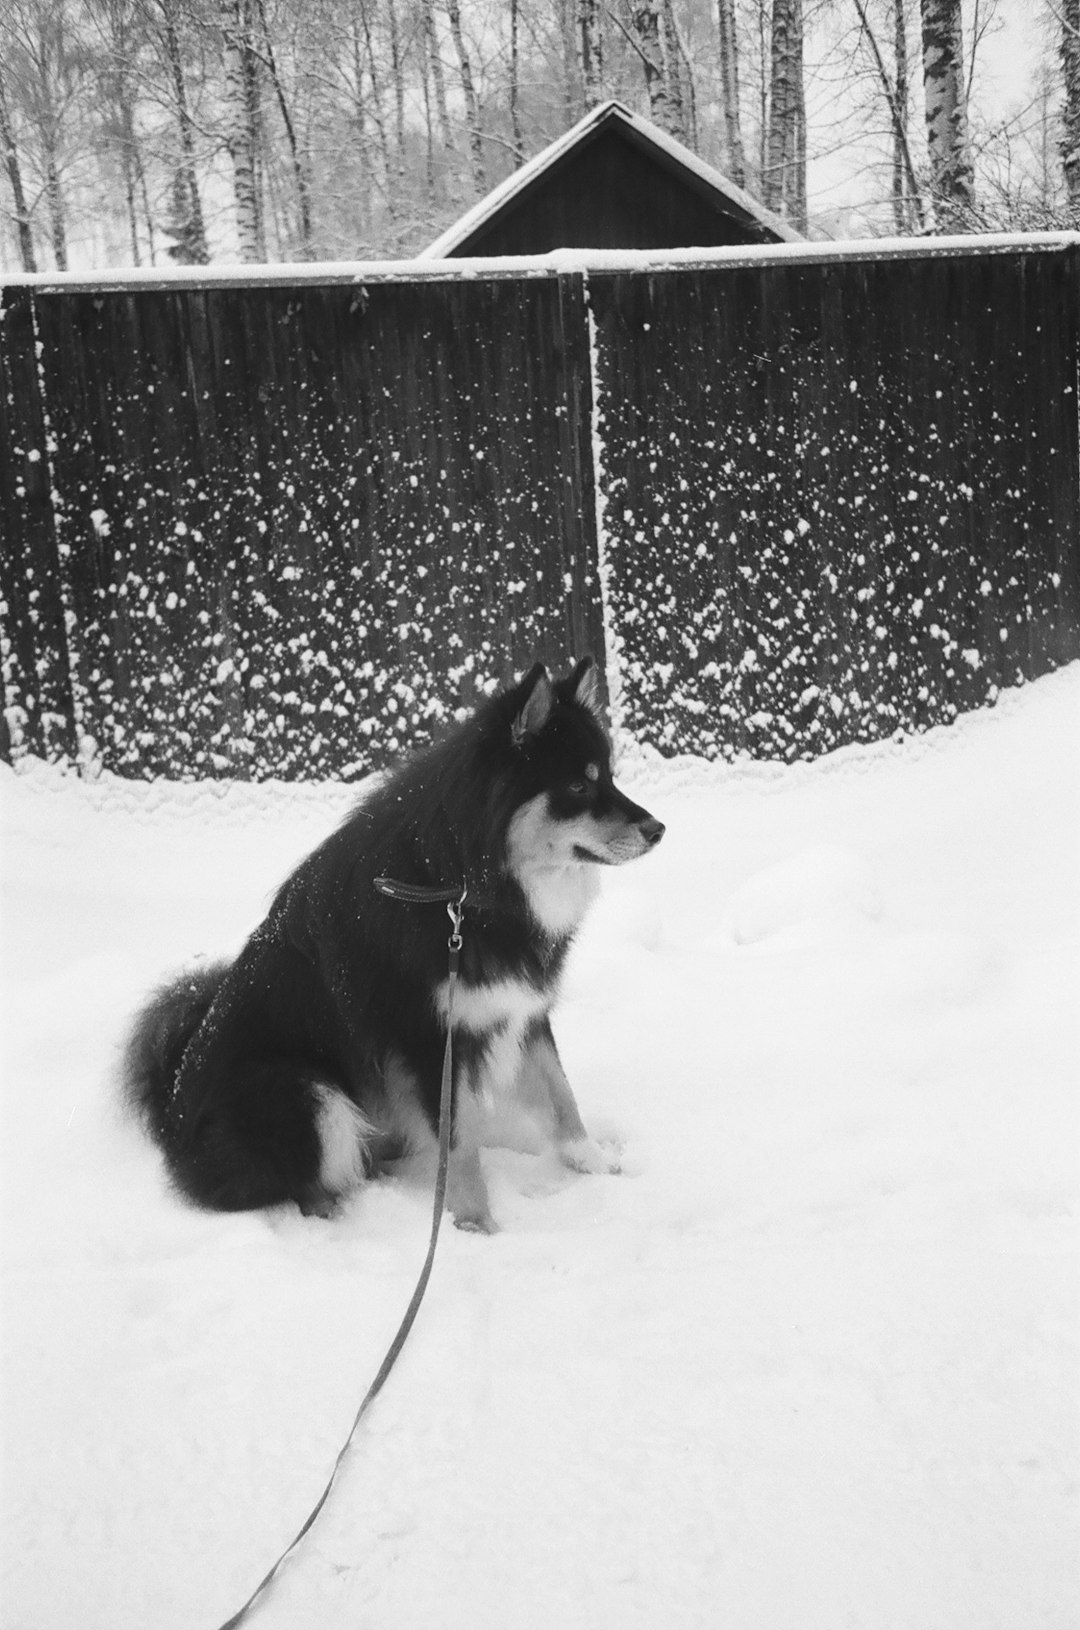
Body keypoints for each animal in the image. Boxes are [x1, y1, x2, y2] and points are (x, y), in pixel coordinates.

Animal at [124, 655, 667, 1225]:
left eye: (608, 777)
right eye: (579, 787)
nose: (658, 829)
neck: (460, 887)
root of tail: (171, 1114)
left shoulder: (519, 1010)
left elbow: (562, 1096)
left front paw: (595, 1163)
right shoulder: (427, 1038)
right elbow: (458, 1145)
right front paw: (477, 1226)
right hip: (303, 1091)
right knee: (297, 1181)